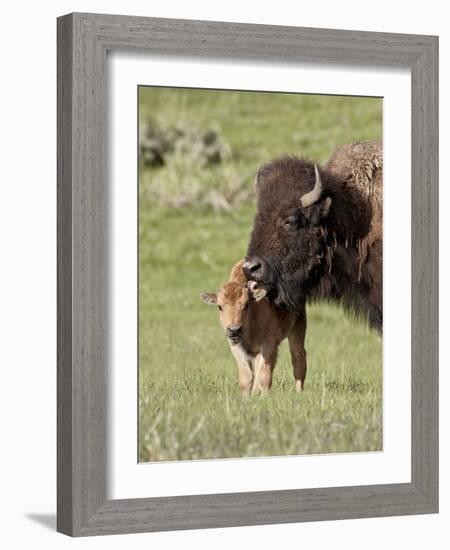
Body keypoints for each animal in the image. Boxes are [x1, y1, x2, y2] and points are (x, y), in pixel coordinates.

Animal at [200, 260, 306, 394]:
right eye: (220, 306)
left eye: (246, 305)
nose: (234, 330)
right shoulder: (236, 346)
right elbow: (247, 377)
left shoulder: (269, 344)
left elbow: (264, 376)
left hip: (298, 327)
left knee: (298, 358)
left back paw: (299, 393)